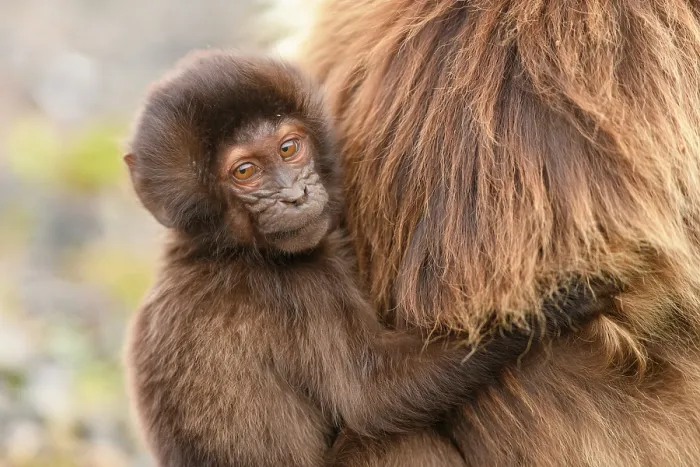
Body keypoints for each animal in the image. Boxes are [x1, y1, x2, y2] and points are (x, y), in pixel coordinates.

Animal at [123, 49, 617, 467]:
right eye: (245, 171)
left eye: (289, 148)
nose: (294, 195)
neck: (225, 251)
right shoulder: (300, 287)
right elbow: (374, 399)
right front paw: (553, 304)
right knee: (392, 440)